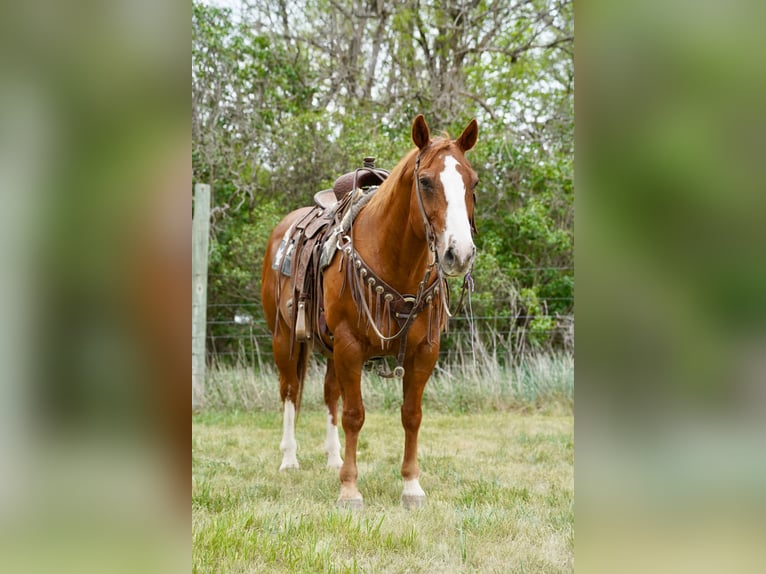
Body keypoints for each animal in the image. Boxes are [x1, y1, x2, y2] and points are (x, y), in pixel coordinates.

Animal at [261, 115, 478, 509]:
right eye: (425, 181)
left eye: (473, 182)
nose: (460, 253)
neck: (394, 259)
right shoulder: (349, 346)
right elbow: (354, 415)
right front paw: (349, 489)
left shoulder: (424, 351)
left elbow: (411, 415)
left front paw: (411, 486)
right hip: (284, 337)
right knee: (289, 390)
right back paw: (289, 458)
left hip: (329, 348)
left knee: (329, 393)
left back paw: (333, 457)